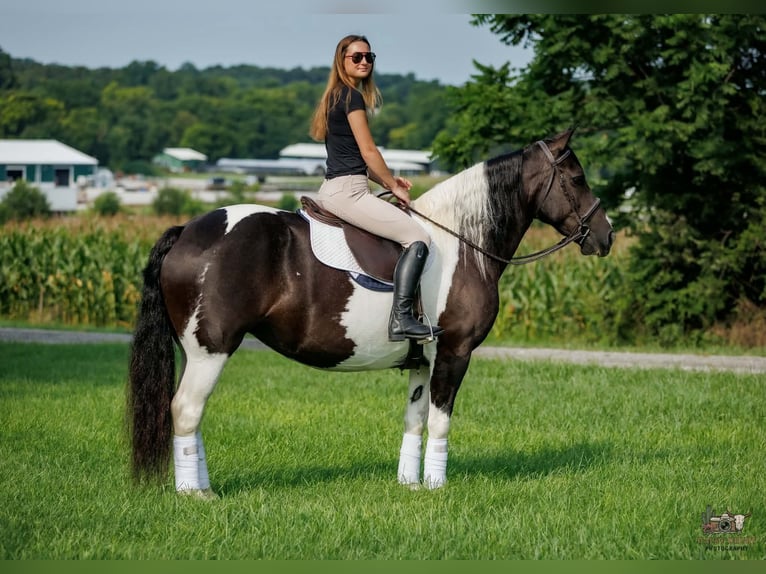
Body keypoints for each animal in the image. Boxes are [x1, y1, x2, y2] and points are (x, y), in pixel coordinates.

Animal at [127, 128, 614, 498]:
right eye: (577, 176)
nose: (606, 235)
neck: (462, 242)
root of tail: (188, 231)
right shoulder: (454, 354)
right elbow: (440, 421)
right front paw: (437, 488)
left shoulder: (422, 361)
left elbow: (415, 420)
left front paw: (411, 485)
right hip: (211, 350)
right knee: (186, 409)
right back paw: (195, 494)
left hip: (196, 352)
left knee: (189, 411)